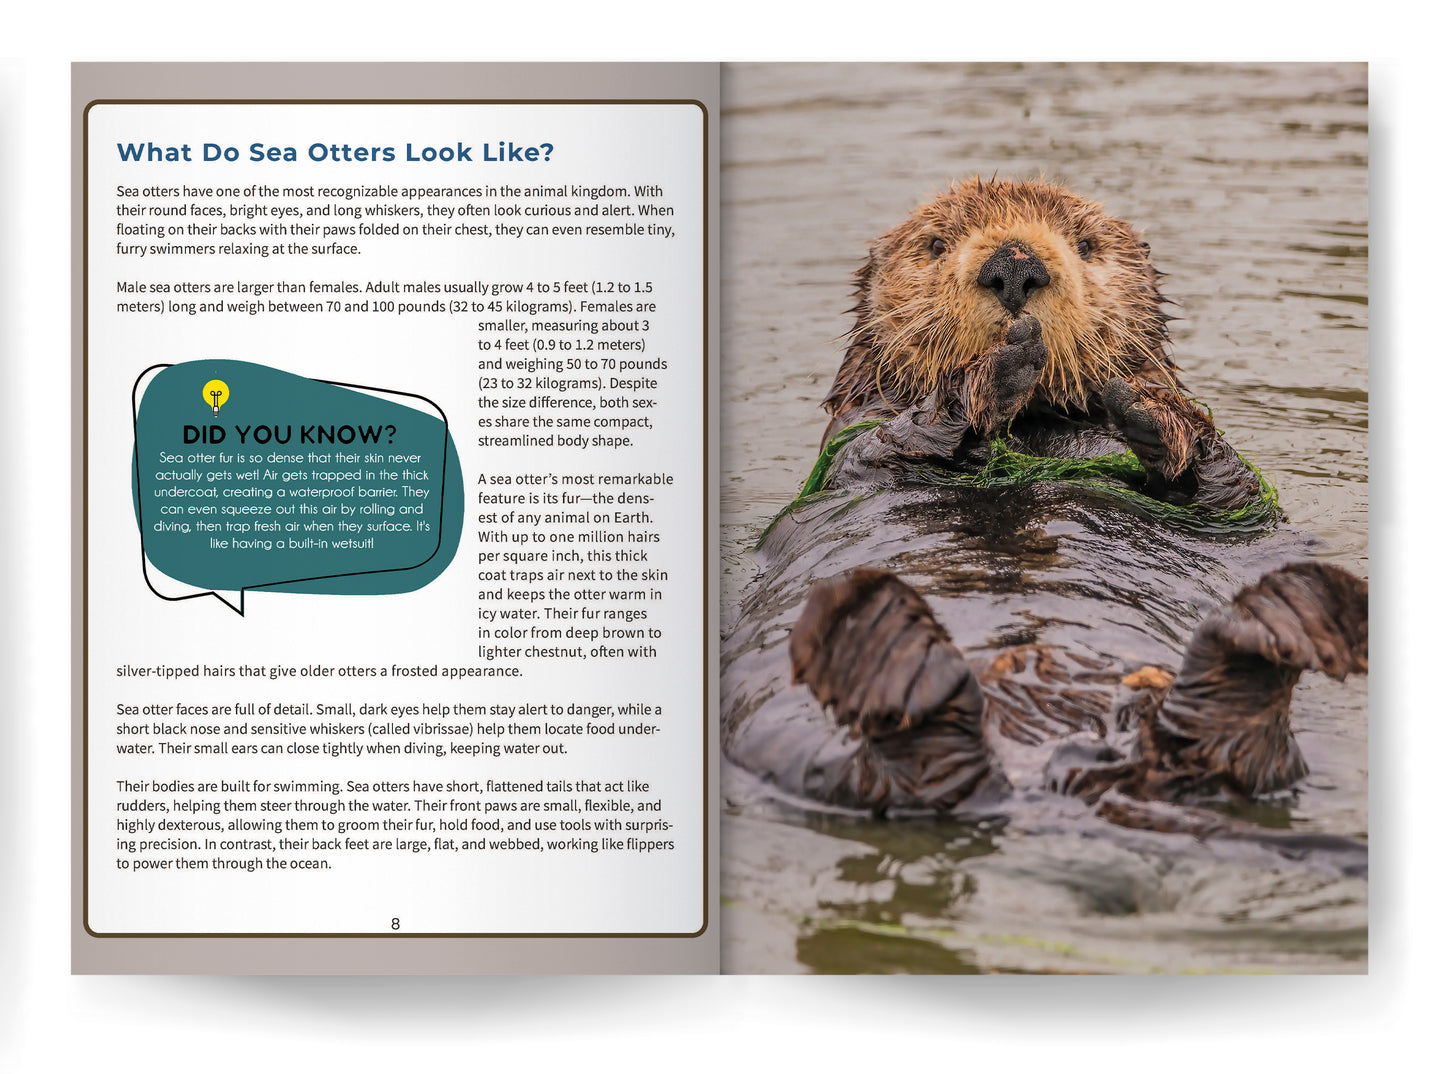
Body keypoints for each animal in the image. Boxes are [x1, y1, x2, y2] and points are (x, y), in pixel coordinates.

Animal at [722, 178, 1367, 851]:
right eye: (936, 244)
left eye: (1085, 244)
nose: (1014, 266)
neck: (1034, 427)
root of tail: (1060, 771)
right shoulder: (852, 443)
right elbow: (884, 444)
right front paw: (991, 376)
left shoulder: (1232, 503)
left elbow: (1231, 491)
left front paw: (1152, 408)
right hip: (793, 740)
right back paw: (881, 644)